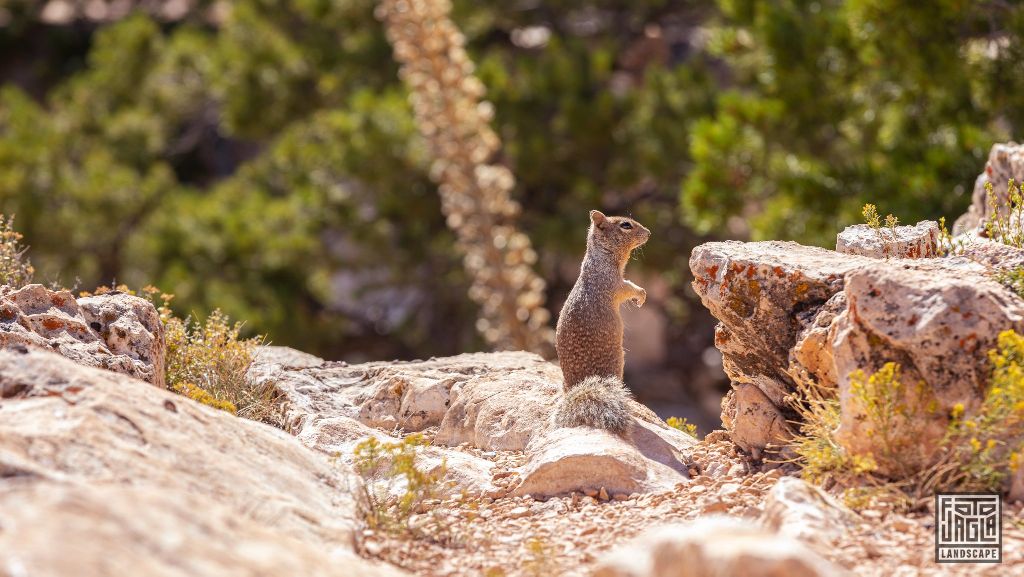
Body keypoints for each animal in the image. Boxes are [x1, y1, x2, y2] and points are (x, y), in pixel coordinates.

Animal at [557, 210, 651, 436]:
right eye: (626, 225)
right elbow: (630, 288)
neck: (601, 256)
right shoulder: (615, 283)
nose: (649, 233)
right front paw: (641, 295)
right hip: (618, 363)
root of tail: (577, 387)